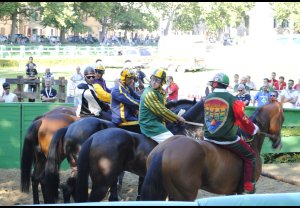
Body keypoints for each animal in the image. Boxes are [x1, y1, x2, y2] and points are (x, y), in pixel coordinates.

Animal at [139, 101, 284, 201]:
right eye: (282, 119)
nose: (278, 143)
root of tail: (164, 150)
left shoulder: (230, 191)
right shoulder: (240, 192)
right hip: (185, 195)